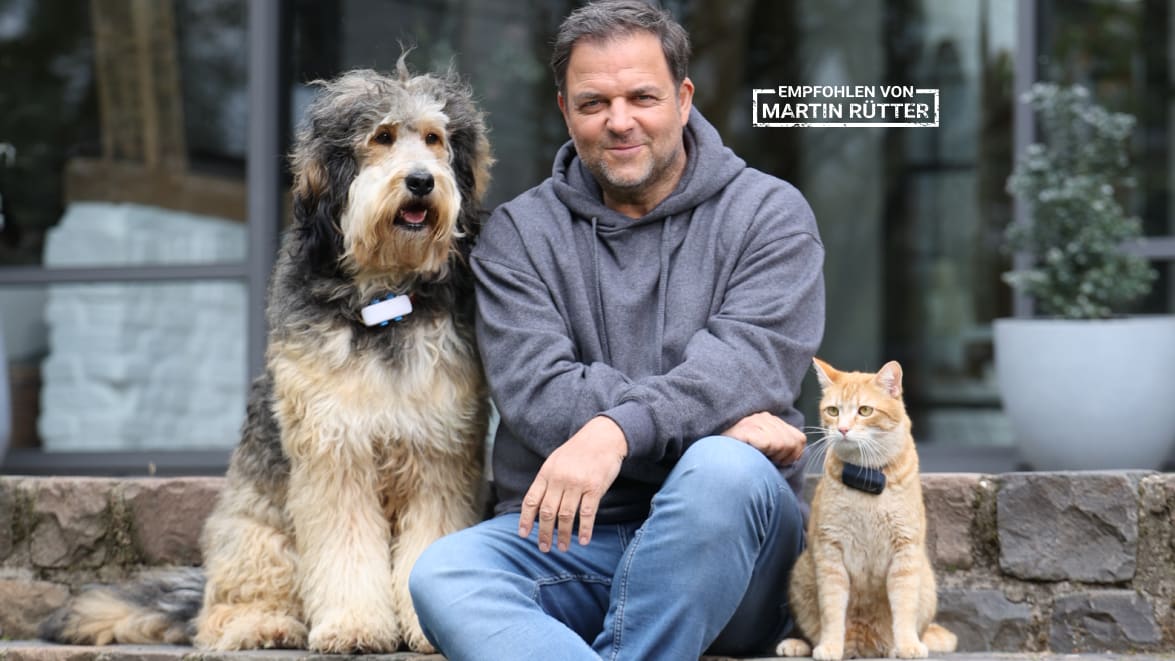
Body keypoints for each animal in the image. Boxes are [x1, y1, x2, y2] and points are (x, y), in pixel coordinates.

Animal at [41, 59, 491, 652]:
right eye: (383, 137)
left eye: (435, 139)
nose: (421, 181)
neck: (385, 297)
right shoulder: (334, 452)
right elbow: (345, 546)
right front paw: (354, 625)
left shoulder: (439, 455)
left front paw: (424, 627)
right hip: (254, 536)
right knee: (222, 612)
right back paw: (263, 625)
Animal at [780, 359, 954, 657]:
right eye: (833, 411)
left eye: (864, 411)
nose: (843, 429)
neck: (866, 477)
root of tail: (864, 646)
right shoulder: (830, 553)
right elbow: (832, 610)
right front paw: (830, 646)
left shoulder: (905, 552)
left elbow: (904, 608)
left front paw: (907, 646)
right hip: (801, 573)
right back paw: (798, 644)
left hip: (926, 581)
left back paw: (895, 647)